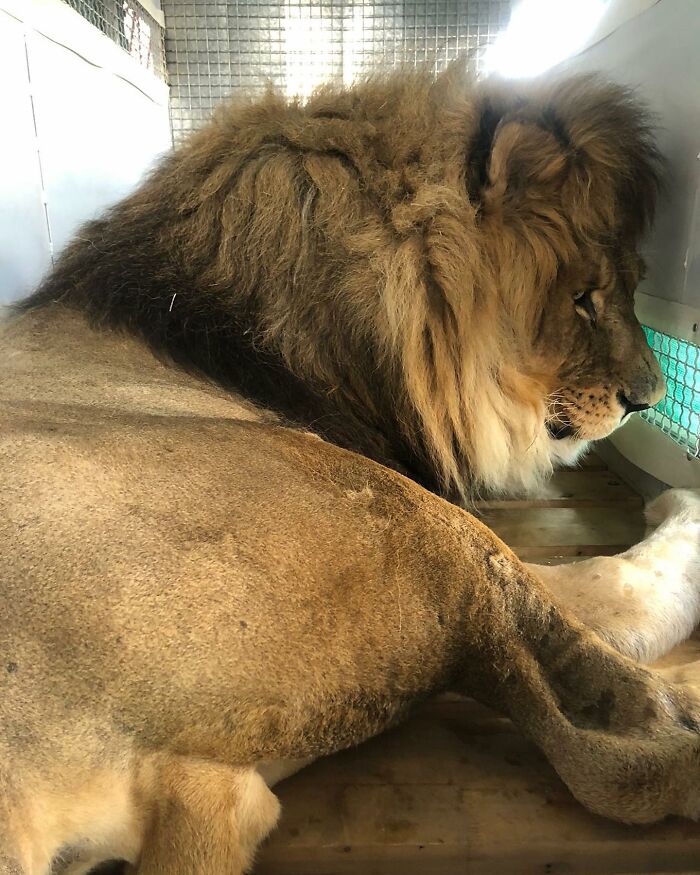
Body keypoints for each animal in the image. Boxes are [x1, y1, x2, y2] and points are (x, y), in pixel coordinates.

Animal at [2, 65, 700, 874]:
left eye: (628, 287)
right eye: (583, 299)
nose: (649, 399)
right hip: (407, 520)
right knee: (623, 721)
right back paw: (680, 521)